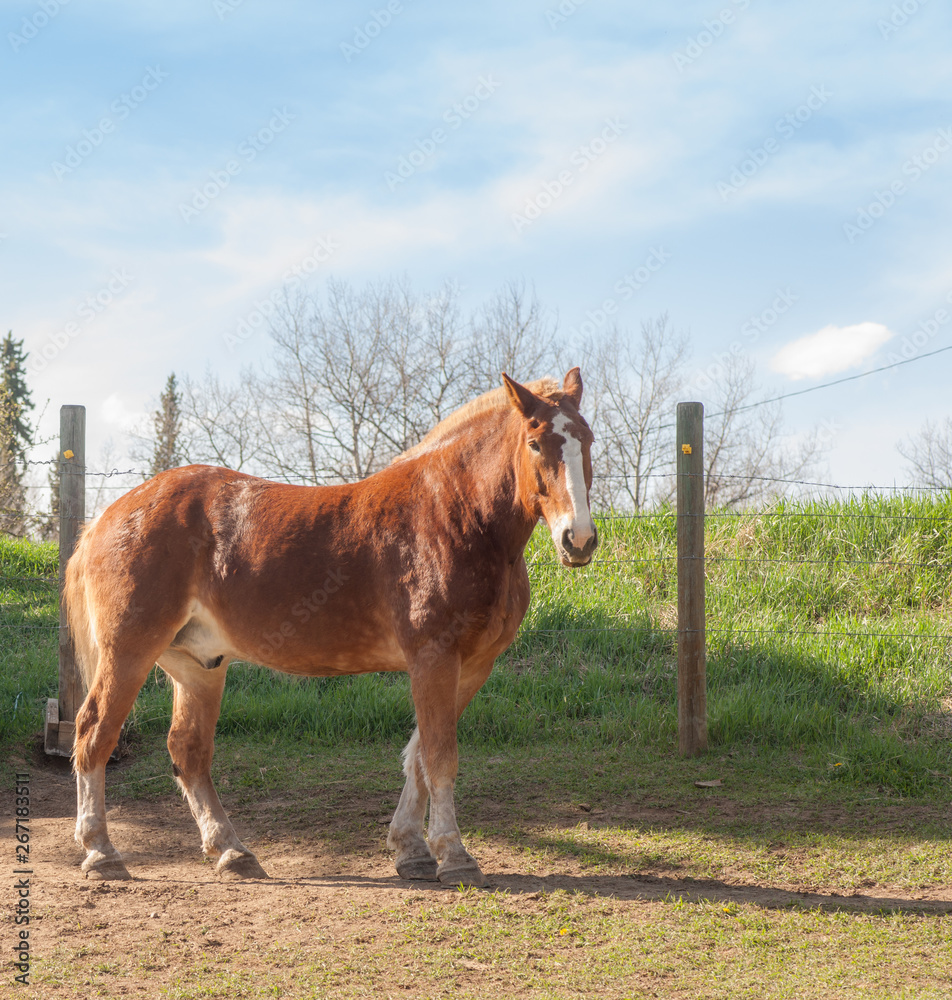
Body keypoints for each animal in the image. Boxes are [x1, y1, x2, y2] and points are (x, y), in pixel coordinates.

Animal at [66, 368, 597, 887]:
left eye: (587, 439)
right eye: (535, 443)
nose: (579, 539)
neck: (454, 515)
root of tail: (106, 518)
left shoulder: (472, 666)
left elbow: (418, 758)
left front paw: (411, 850)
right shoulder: (433, 658)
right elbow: (440, 757)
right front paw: (455, 856)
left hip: (198, 667)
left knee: (188, 751)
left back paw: (232, 853)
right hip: (129, 653)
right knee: (94, 733)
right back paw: (101, 852)